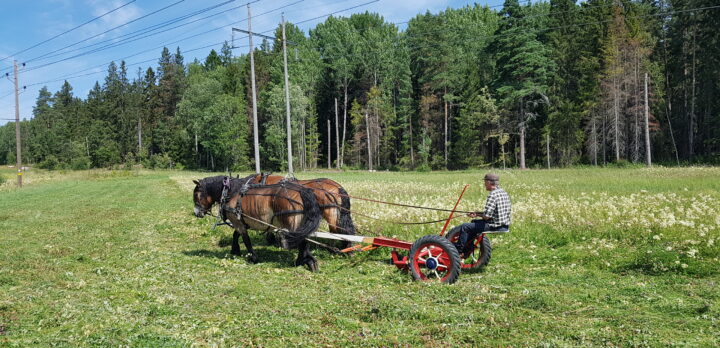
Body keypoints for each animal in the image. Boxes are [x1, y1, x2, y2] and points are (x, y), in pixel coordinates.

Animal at [194, 175, 324, 270]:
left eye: (196, 195)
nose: (196, 213)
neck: (232, 192)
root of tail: (302, 191)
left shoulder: (238, 222)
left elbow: (246, 240)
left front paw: (253, 257)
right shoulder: (241, 221)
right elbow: (236, 235)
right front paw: (235, 250)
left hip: (292, 225)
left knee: (301, 241)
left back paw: (302, 261)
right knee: (304, 241)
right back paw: (307, 260)